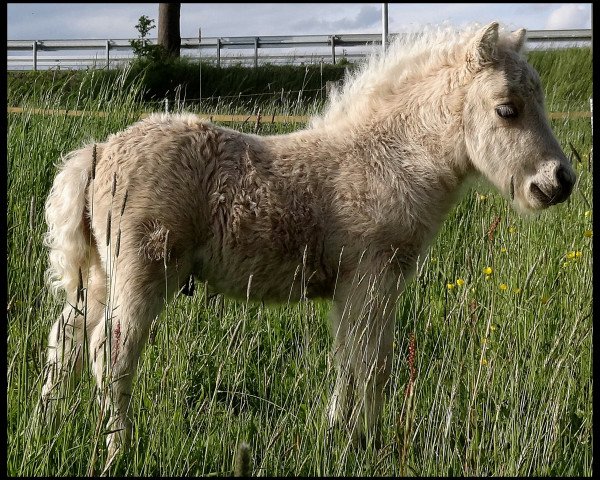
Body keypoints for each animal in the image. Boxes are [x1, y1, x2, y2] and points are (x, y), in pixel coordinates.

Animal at [41, 20, 576, 464]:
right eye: (506, 110)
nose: (560, 181)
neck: (389, 160)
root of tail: (97, 152)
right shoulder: (372, 277)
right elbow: (373, 363)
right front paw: (371, 446)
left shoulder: (352, 288)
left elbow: (347, 360)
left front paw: (339, 433)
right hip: (143, 271)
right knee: (110, 351)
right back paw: (118, 451)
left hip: (98, 274)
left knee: (66, 337)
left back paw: (46, 425)